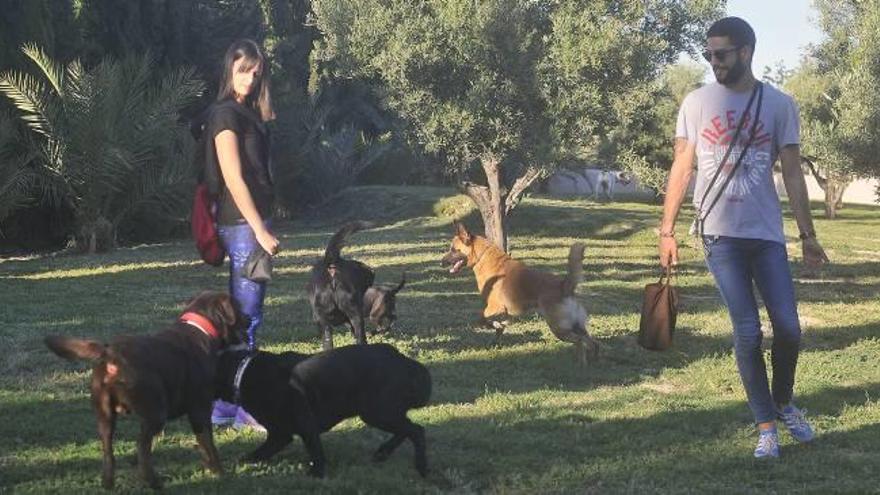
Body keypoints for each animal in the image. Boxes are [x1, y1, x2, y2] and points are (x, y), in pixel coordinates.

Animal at [215, 344, 432, 476]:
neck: (242, 372)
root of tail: (405, 361)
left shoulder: (293, 429)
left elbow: (315, 450)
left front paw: (317, 473)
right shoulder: (280, 434)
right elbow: (258, 453)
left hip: (377, 412)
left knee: (416, 430)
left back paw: (421, 467)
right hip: (382, 413)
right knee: (407, 429)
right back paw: (383, 452)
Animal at [440, 223, 600, 362]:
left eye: (454, 250)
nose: (440, 262)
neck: (482, 257)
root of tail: (564, 286)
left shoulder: (494, 307)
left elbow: (482, 319)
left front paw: (495, 325)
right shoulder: (506, 313)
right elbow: (499, 327)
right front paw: (496, 336)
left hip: (559, 328)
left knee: (580, 342)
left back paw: (581, 363)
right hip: (576, 326)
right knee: (592, 342)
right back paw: (594, 360)